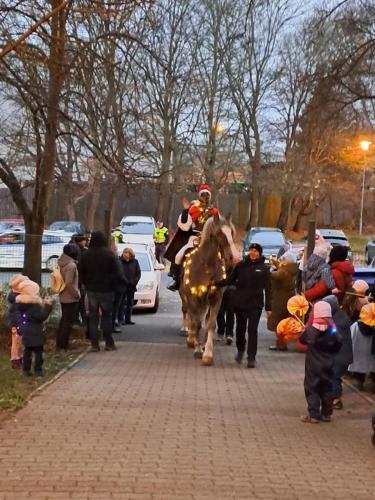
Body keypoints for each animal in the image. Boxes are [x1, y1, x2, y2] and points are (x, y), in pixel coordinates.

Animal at [178, 213, 238, 366]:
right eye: (219, 233)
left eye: (231, 232)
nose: (235, 258)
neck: (206, 265)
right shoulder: (193, 297)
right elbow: (196, 323)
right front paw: (198, 349)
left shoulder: (216, 298)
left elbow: (210, 324)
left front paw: (208, 354)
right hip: (186, 297)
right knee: (189, 314)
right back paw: (190, 337)